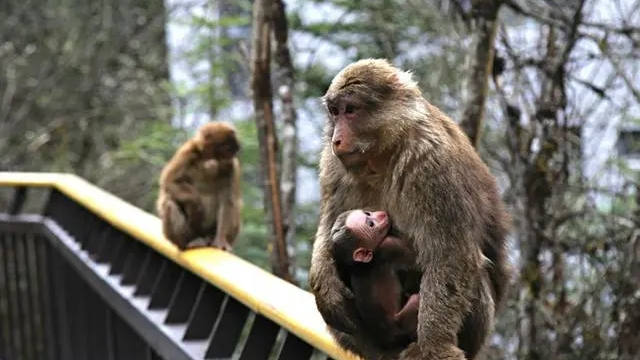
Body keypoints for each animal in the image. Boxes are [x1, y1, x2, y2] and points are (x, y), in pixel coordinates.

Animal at [157, 121, 242, 250]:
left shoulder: (230, 167)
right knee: (169, 203)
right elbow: (169, 182)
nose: (231, 157)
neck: (206, 160)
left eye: (232, 151)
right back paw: (191, 241)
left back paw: (210, 238)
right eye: (227, 149)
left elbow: (227, 201)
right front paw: (195, 205)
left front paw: (220, 240)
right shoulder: (188, 151)